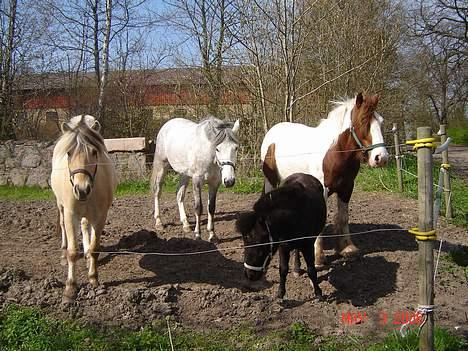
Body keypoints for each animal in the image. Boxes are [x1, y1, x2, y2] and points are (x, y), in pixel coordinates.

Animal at [50, 115, 117, 302]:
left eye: (94, 152)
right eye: (69, 153)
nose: (81, 189)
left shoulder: (101, 216)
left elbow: (94, 248)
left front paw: (93, 278)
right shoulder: (70, 214)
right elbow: (72, 252)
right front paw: (70, 288)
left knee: (85, 226)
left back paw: (86, 256)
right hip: (60, 205)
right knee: (63, 226)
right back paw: (63, 254)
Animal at [262, 93, 390, 270]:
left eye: (381, 121)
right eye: (363, 120)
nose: (381, 157)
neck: (336, 153)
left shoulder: (346, 188)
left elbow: (343, 217)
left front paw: (347, 248)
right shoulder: (322, 190)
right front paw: (318, 258)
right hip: (270, 181)